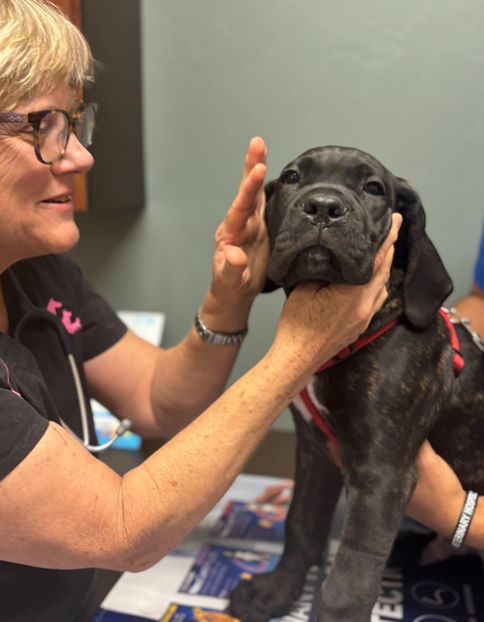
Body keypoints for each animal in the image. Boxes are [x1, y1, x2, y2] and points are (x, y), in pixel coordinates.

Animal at [229, 147, 484, 622]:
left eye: (373, 188)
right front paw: (275, 594)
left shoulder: (381, 473)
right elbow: (301, 524)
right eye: (292, 178)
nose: (323, 207)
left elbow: (350, 576)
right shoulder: (316, 453)